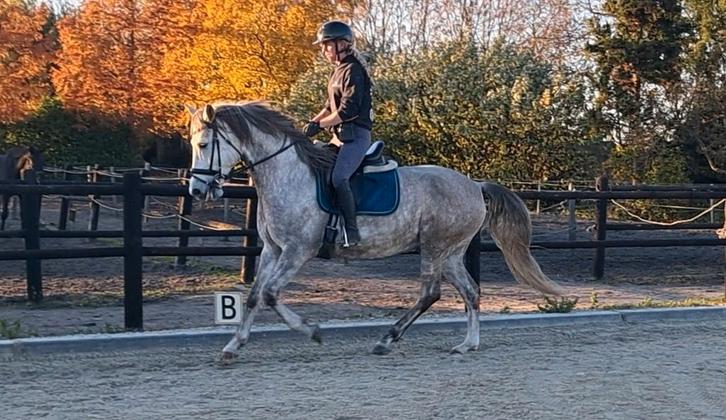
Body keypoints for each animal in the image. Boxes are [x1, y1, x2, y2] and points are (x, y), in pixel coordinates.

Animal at [186, 101, 564, 361]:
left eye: (203, 145)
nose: (196, 190)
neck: (288, 173)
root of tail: (474, 185)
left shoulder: (297, 251)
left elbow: (270, 295)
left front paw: (313, 332)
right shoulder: (272, 250)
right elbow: (253, 297)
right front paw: (233, 346)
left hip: (435, 247)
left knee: (430, 294)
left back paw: (387, 339)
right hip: (451, 253)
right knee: (470, 291)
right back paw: (467, 344)